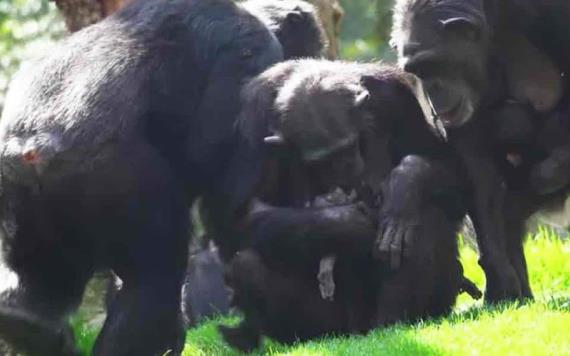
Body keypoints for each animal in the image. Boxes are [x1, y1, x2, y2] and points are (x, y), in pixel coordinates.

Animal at [0, 0, 282, 356]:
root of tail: (32, 149)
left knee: (41, 277)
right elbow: (211, 151)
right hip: (117, 179)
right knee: (153, 279)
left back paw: (25, 324)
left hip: (20, 199)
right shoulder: (251, 56)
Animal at [217, 59, 480, 352]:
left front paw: (405, 182)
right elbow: (242, 216)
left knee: (426, 216)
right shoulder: (253, 121)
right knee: (245, 265)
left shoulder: (401, 97)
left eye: (349, 145)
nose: (348, 167)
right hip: (332, 324)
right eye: (323, 160)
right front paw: (354, 224)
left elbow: (455, 179)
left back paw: (394, 322)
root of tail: (358, 330)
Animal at [388, 0, 568, 304]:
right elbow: (477, 165)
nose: (432, 89)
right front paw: (500, 277)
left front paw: (552, 168)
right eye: (417, 71)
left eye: (431, 64)